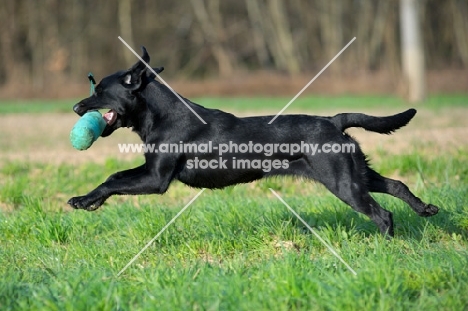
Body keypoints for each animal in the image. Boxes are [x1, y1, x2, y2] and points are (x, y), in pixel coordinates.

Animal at [68, 47, 438, 236]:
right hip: (355, 172)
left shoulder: (156, 177)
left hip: (343, 182)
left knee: (383, 214)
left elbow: (113, 178)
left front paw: (83, 200)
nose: (75, 107)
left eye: (100, 91)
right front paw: (89, 201)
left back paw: (384, 246)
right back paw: (426, 209)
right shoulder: (150, 173)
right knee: (397, 185)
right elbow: (116, 177)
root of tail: (333, 120)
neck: (159, 114)